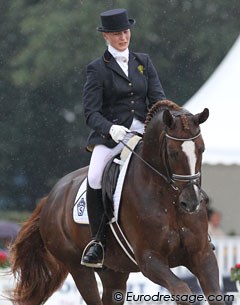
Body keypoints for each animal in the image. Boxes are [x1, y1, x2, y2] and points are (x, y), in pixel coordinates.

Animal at [9, 100, 225, 304]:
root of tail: (51, 198)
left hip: (114, 271)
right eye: (173, 153)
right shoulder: (150, 260)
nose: (191, 202)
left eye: (202, 149)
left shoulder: (202, 254)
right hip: (78, 268)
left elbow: (215, 295)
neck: (168, 201)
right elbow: (182, 290)